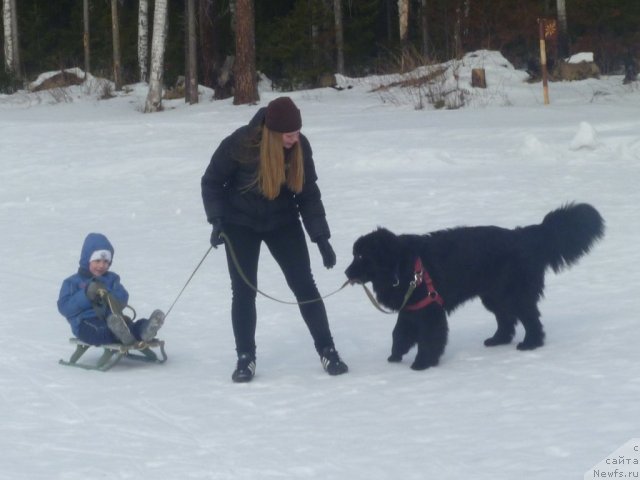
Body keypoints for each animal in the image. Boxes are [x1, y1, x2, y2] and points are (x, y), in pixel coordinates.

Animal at [344, 202, 604, 372]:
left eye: (361, 256)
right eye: (355, 254)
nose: (346, 272)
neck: (401, 266)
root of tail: (523, 236)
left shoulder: (429, 310)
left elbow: (429, 338)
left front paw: (422, 363)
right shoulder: (411, 308)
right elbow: (399, 333)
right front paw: (395, 356)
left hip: (514, 294)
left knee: (531, 319)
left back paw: (531, 344)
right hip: (494, 295)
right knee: (507, 320)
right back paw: (498, 340)